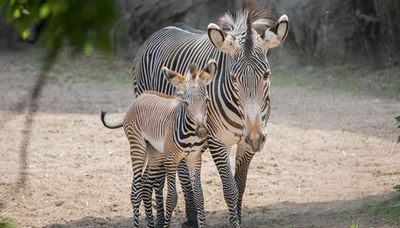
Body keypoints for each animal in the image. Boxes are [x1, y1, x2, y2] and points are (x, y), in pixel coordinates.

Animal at [101, 59, 217, 227]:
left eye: (207, 101)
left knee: (144, 186)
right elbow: (172, 198)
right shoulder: (171, 158)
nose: (201, 132)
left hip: (155, 152)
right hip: (138, 147)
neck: (189, 132)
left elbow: (199, 196)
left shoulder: (194, 158)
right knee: (135, 191)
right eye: (186, 103)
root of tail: (140, 97)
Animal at [135, 2, 288, 228]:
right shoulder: (217, 141)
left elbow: (240, 184)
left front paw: (238, 219)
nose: (253, 136)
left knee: (183, 170)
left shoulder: (247, 145)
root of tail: (162, 29)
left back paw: (190, 217)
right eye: (233, 77)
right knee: (164, 175)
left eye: (266, 74)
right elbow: (230, 189)